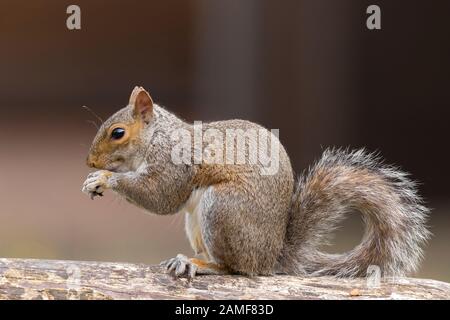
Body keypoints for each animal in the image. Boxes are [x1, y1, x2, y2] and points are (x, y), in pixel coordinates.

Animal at [82, 86, 430, 278]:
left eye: (118, 133)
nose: (91, 162)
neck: (158, 137)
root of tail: (271, 255)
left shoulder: (175, 164)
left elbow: (160, 197)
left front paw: (105, 178)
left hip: (222, 209)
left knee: (236, 268)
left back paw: (200, 265)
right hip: (198, 221)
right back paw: (189, 259)